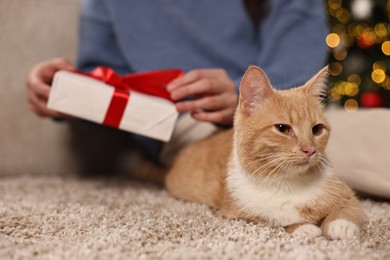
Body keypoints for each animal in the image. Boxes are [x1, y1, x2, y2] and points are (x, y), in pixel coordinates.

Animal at [164, 66, 366, 241]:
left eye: (316, 129)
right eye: (282, 128)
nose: (310, 149)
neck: (288, 182)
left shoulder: (347, 195)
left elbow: (348, 208)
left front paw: (341, 224)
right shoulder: (241, 214)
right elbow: (277, 221)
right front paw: (302, 227)